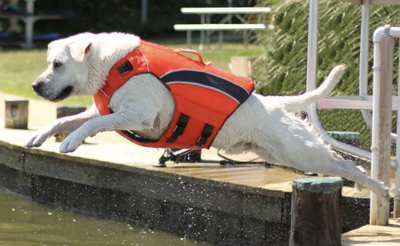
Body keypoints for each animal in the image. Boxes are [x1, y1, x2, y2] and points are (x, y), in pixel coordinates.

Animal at [24, 32, 388, 202]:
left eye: (57, 64)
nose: (35, 85)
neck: (112, 64)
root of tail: (275, 104)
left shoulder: (138, 114)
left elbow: (91, 123)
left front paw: (72, 141)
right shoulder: (107, 108)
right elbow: (67, 119)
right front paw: (40, 135)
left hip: (300, 151)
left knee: (345, 164)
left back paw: (379, 187)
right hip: (278, 153)